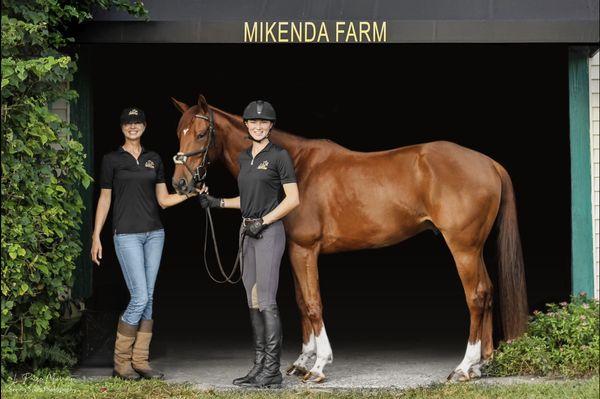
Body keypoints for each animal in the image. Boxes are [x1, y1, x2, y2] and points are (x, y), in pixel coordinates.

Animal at [171, 95, 528, 382]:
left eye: (201, 134)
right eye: (179, 132)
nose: (180, 184)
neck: (296, 167)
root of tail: (488, 163)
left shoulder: (305, 250)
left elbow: (313, 304)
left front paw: (318, 367)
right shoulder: (294, 251)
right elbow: (301, 302)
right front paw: (302, 362)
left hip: (463, 248)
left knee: (477, 296)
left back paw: (465, 367)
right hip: (474, 249)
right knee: (489, 292)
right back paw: (482, 364)